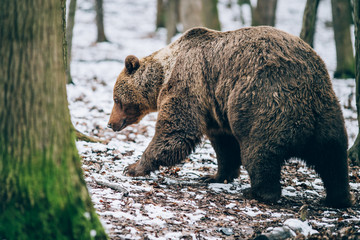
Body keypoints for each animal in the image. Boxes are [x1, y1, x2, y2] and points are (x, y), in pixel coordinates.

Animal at [107, 25, 354, 206]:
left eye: (116, 99)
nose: (110, 124)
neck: (165, 71)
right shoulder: (215, 107)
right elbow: (224, 145)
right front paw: (215, 175)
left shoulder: (189, 82)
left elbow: (176, 131)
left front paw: (133, 167)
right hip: (326, 109)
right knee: (333, 158)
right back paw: (337, 198)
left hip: (265, 101)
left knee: (260, 152)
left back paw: (257, 192)